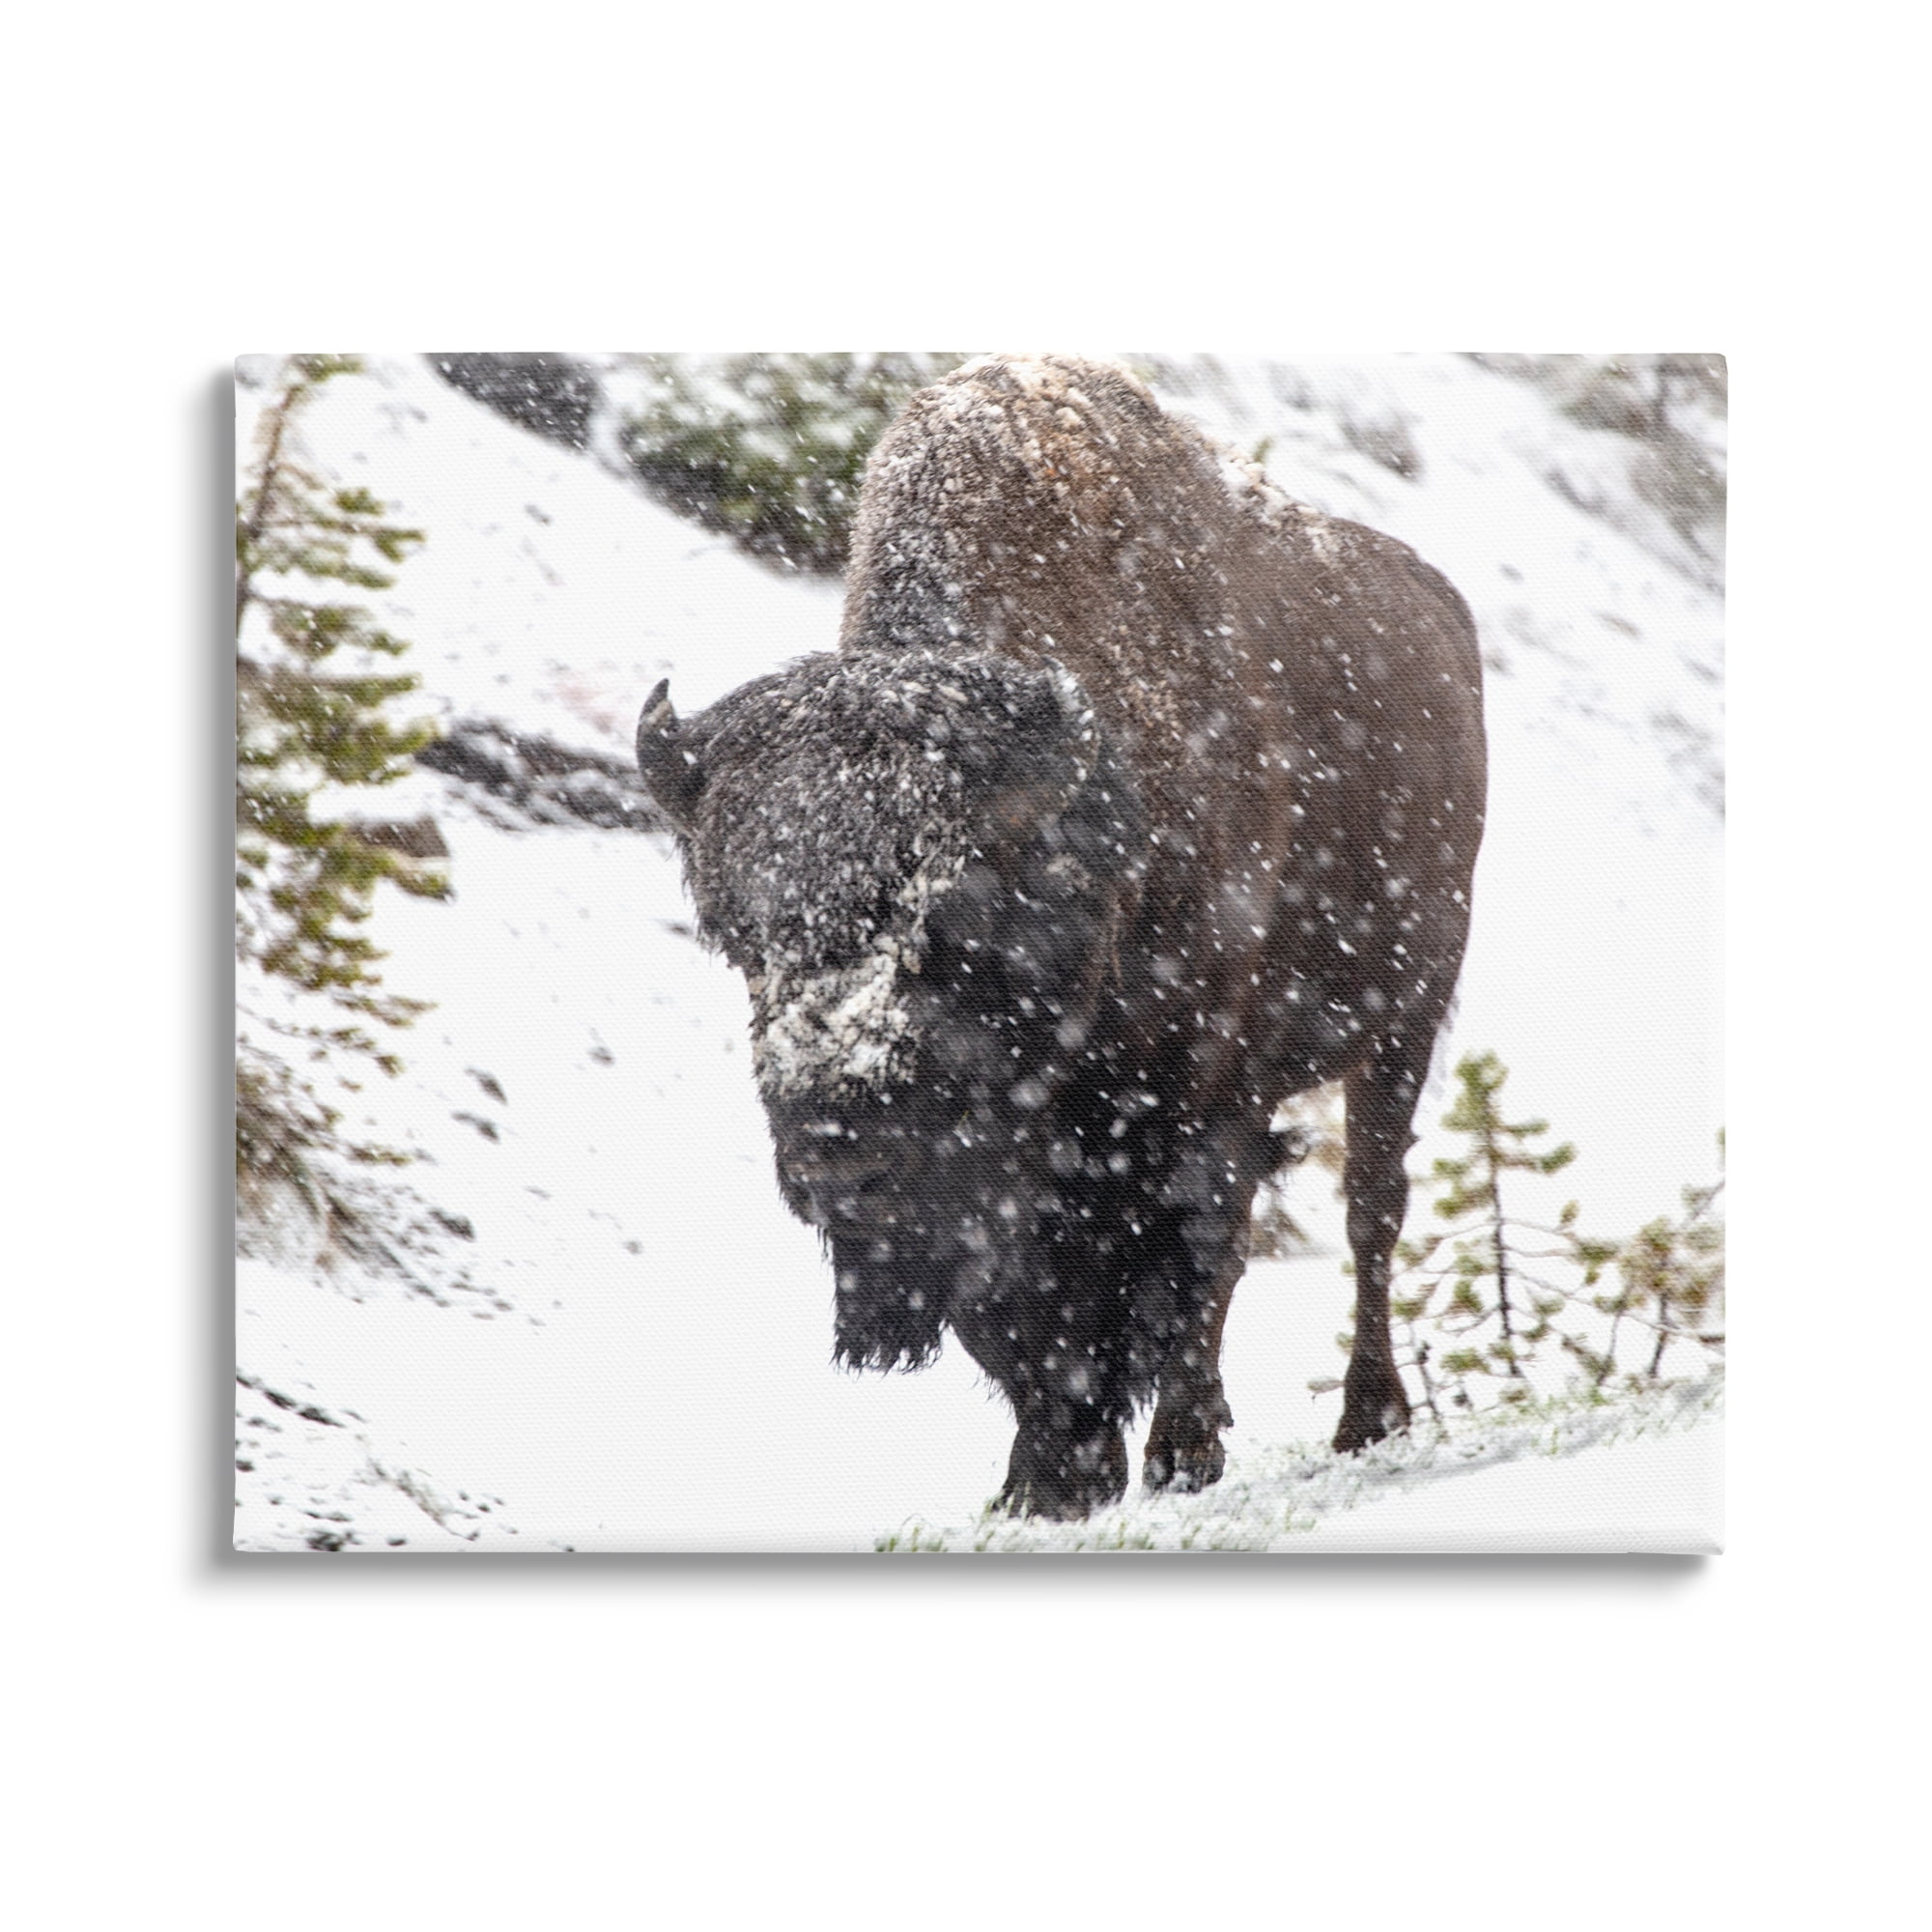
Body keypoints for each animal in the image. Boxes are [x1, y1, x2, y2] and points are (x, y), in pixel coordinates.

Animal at [635, 354, 1486, 1519]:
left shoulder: (1200, 1097)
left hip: (1403, 1020)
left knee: (1368, 1211)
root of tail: (1442, 616)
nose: (832, 1156)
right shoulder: (1011, 1176)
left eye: (948, 927)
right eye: (735, 937)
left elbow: (1191, 1254)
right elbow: (1017, 1315)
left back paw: (1363, 1420)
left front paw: (1174, 1456)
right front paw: (1044, 1480)